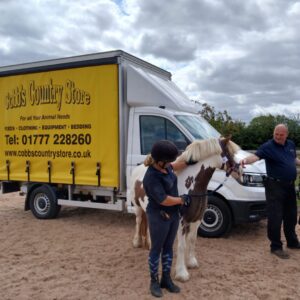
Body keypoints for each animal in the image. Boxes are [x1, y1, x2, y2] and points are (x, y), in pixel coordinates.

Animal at [129, 137, 241, 282]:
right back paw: (137, 242)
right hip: (137, 207)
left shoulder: (196, 220)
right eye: (229, 154)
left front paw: (191, 262)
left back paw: (149, 245)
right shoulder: (181, 222)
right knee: (138, 222)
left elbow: (192, 241)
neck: (191, 188)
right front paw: (182, 273)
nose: (240, 173)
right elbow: (182, 246)